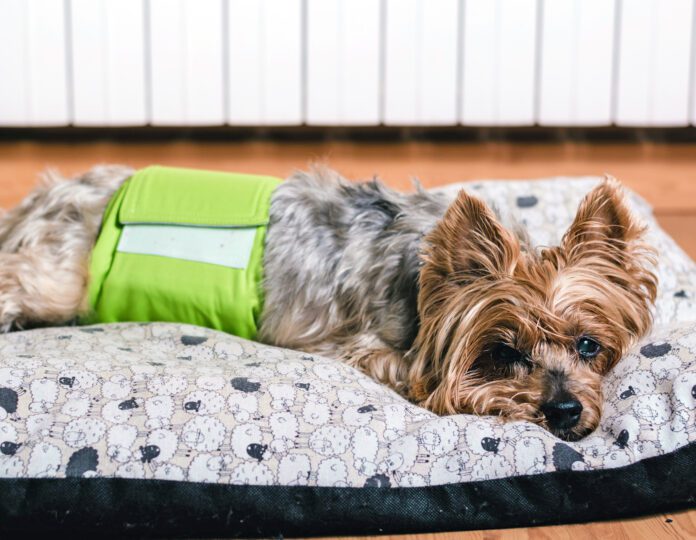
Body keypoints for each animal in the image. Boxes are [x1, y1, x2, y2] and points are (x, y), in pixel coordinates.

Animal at [0, 167, 656, 440]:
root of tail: (43, 195)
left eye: (589, 345)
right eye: (500, 352)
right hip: (62, 277)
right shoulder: (370, 349)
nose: (566, 411)